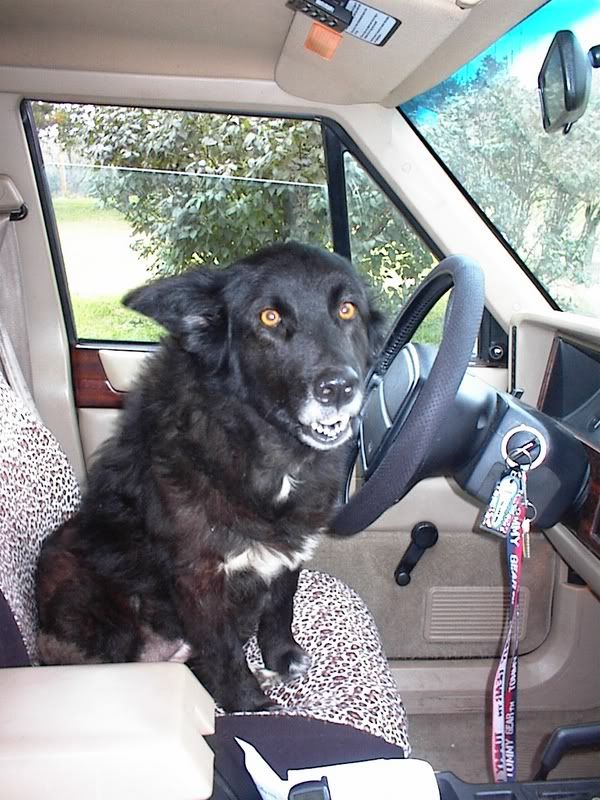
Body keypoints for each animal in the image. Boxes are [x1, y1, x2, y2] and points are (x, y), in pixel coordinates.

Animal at [36, 241, 384, 708]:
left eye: (347, 309)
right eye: (269, 317)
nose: (339, 388)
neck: (262, 448)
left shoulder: (288, 554)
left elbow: (279, 608)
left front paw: (281, 658)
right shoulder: (200, 581)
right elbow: (226, 654)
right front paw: (251, 706)